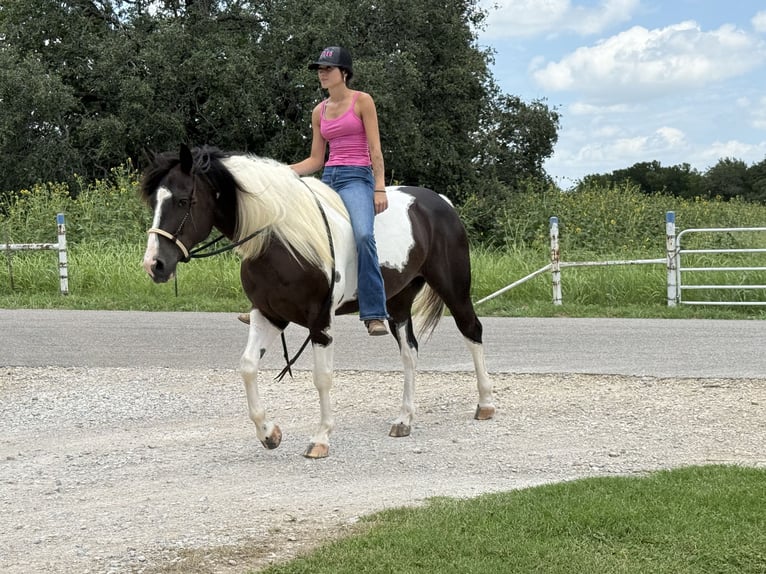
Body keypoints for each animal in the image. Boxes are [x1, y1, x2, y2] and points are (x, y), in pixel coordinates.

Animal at [141, 144, 495, 458]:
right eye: (154, 202)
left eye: (183, 200)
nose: (155, 264)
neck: (281, 239)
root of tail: (440, 201)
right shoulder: (268, 314)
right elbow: (247, 367)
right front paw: (269, 433)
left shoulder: (320, 320)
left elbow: (322, 377)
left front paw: (321, 438)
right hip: (397, 303)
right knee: (410, 353)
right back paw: (404, 419)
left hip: (454, 288)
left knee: (472, 331)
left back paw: (485, 404)